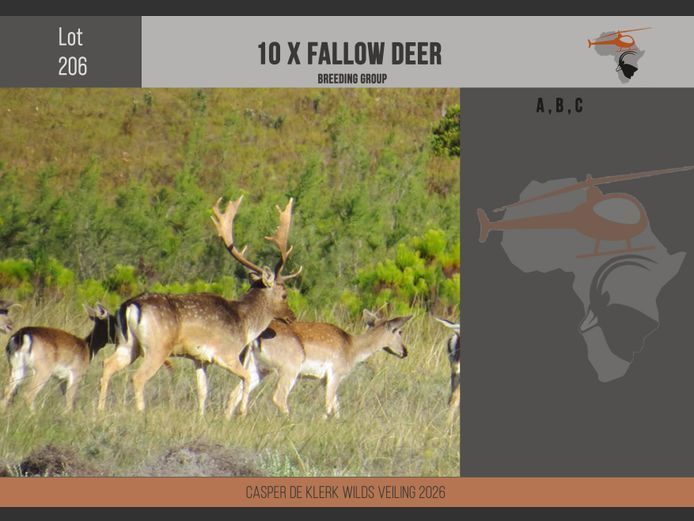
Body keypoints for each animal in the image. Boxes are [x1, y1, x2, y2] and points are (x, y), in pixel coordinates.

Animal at [97, 195, 301, 417]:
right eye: (284, 295)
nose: (292, 316)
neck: (245, 324)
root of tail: (130, 305)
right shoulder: (226, 353)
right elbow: (246, 378)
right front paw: (241, 413)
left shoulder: (200, 358)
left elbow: (203, 391)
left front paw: (202, 417)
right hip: (157, 346)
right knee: (138, 377)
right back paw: (140, 412)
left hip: (127, 344)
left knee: (107, 365)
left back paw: (98, 410)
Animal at [227, 310, 412, 419]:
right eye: (399, 331)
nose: (405, 352)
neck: (352, 348)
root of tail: (255, 338)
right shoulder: (335, 374)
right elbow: (329, 405)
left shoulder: (324, 380)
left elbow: (336, 406)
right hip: (289, 369)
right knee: (278, 397)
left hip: (257, 367)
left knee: (236, 391)